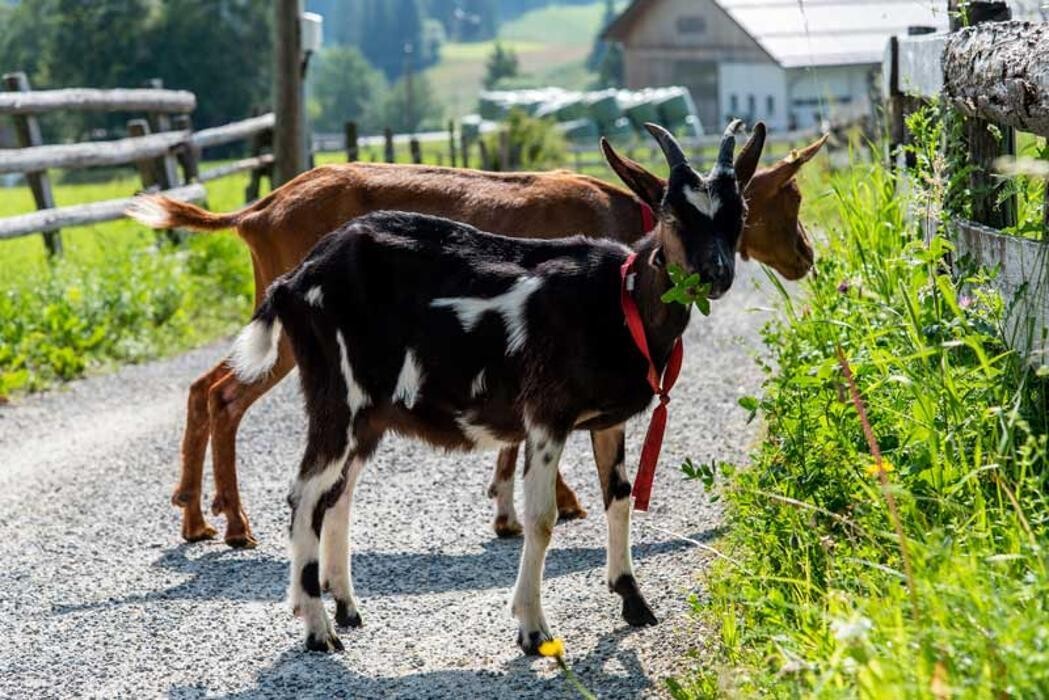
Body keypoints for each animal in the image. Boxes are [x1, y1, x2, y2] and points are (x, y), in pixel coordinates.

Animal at [126, 130, 822, 545]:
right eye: (786, 195)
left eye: (741, 212)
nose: (807, 256)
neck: (627, 214)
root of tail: (257, 210)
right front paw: (549, 504)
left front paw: (508, 509)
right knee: (223, 394)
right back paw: (230, 521)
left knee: (206, 385)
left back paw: (197, 513)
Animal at [233, 120, 751, 650]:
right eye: (671, 213)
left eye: (739, 212)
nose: (715, 274)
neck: (616, 298)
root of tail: (294, 281)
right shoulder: (546, 416)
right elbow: (541, 518)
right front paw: (532, 627)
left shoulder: (608, 421)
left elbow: (620, 497)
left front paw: (632, 598)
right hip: (337, 396)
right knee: (305, 495)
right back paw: (319, 630)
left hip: (369, 416)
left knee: (339, 496)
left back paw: (346, 608)